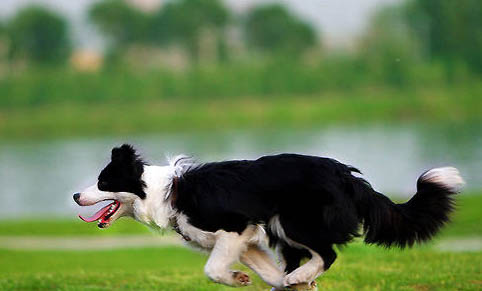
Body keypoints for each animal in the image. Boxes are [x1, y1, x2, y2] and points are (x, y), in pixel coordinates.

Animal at [74, 145, 464, 290]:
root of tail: (348, 177)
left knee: (327, 254)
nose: (76, 195)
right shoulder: (246, 241)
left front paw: (237, 279)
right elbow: (268, 273)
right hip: (284, 228)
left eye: (103, 181)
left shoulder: (234, 228)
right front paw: (267, 281)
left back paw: (302, 276)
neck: (165, 191)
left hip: (292, 221)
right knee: (309, 258)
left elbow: (212, 269)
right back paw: (300, 279)